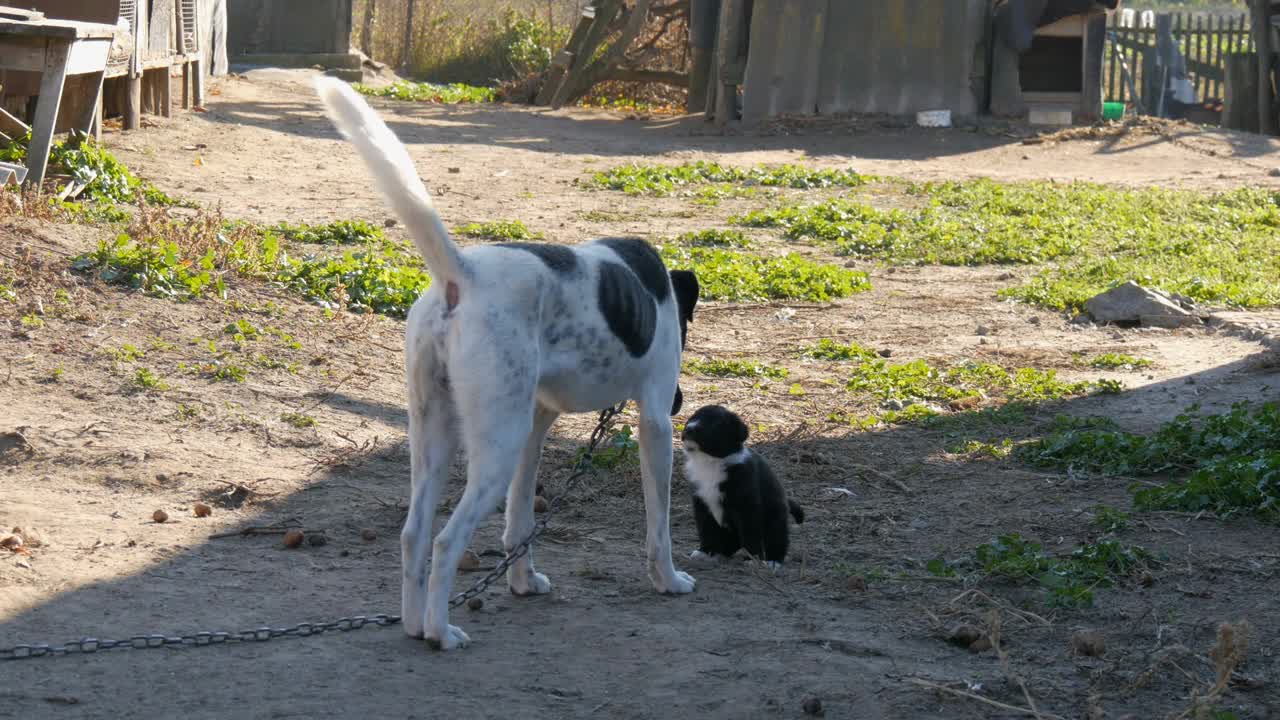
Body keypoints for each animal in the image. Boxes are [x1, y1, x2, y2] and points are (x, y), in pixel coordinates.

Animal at [317, 75, 701, 648]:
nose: (681, 402)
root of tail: (463, 276)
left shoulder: (537, 425)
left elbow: (519, 518)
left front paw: (522, 581)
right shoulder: (654, 420)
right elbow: (660, 523)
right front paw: (669, 579)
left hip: (440, 437)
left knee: (414, 534)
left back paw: (414, 624)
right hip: (494, 447)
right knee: (445, 541)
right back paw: (441, 632)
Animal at [680, 407, 798, 568]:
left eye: (715, 423)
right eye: (693, 417)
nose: (689, 429)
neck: (711, 463)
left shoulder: (746, 507)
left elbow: (750, 534)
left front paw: (752, 559)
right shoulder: (702, 504)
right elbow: (706, 530)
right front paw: (705, 551)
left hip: (775, 517)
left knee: (777, 539)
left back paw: (773, 561)